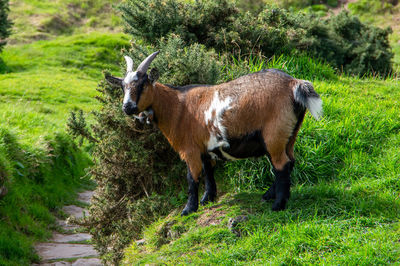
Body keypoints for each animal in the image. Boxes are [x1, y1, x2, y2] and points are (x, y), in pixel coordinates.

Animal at [105, 52, 322, 216]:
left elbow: (192, 178)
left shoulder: (190, 150)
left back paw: (277, 205)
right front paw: (207, 199)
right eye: (123, 87)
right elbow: (208, 172)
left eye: (142, 84)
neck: (177, 107)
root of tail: (294, 84)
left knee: (281, 165)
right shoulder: (204, 148)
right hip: (290, 134)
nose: (127, 107)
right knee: (289, 161)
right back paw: (270, 196)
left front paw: (188, 209)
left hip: (274, 134)